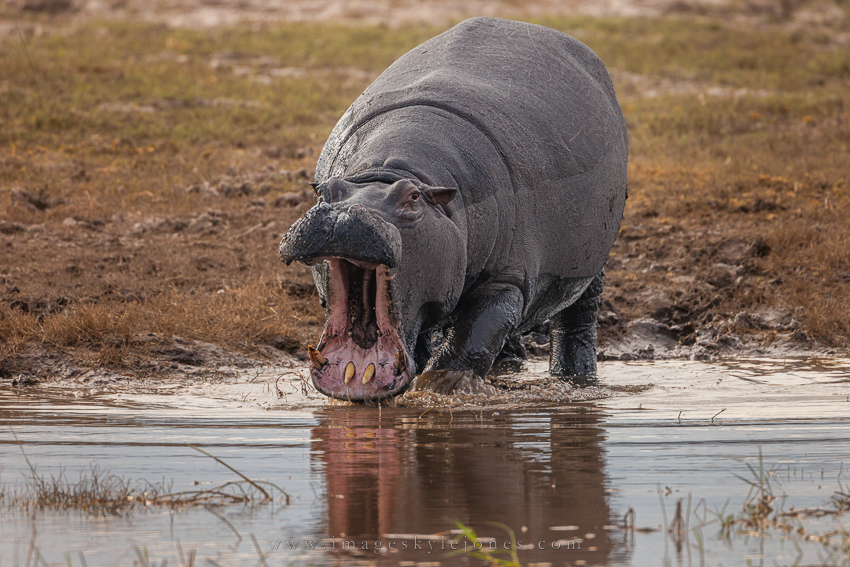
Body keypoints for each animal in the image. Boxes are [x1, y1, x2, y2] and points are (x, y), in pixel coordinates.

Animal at [280, 17, 628, 401]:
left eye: (412, 199)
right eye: (326, 191)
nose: (345, 214)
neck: (389, 171)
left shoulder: (506, 280)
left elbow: (474, 333)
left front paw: (441, 387)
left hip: (591, 263)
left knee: (578, 319)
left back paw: (575, 377)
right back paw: (510, 365)